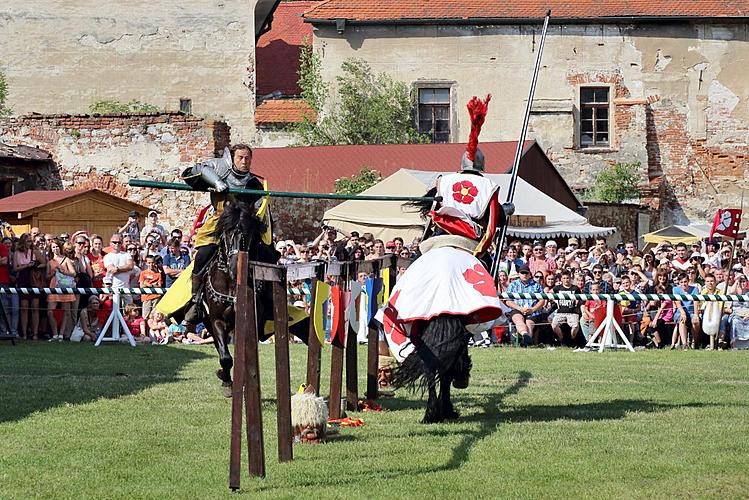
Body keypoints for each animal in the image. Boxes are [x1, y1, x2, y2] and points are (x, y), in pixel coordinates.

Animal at [200, 197, 308, 396]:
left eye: (248, 234)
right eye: (226, 233)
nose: (235, 267)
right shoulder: (216, 320)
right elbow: (225, 356)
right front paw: (225, 380)